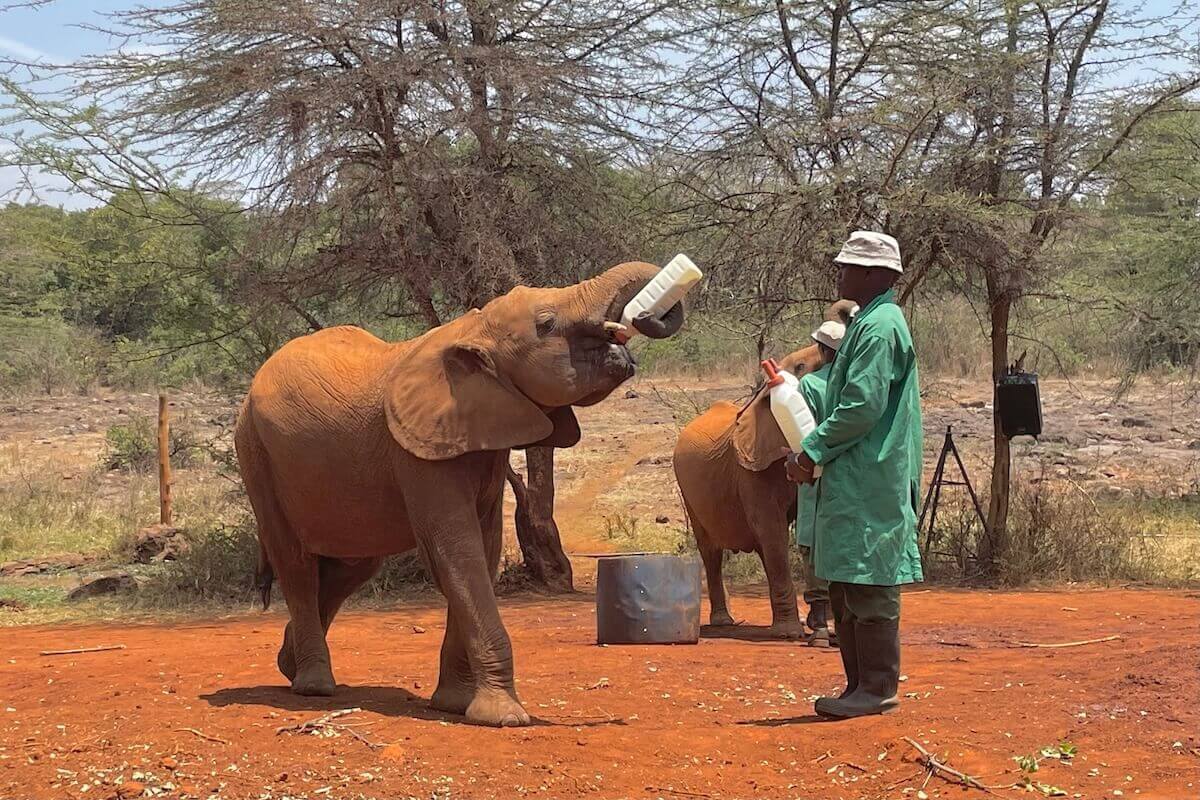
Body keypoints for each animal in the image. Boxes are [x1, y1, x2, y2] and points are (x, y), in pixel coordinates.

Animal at [234, 261, 684, 727]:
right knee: (296, 563)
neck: (473, 329)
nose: (640, 318)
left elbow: (482, 550)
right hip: (254, 452)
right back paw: (314, 686)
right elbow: (456, 552)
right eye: (546, 324)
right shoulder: (418, 451)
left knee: (353, 565)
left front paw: (454, 704)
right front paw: (504, 718)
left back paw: (288, 663)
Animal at [672, 300, 856, 638]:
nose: (847, 311)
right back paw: (724, 622)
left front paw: (815, 628)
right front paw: (789, 633)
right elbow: (771, 528)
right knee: (711, 550)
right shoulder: (752, 471)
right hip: (688, 490)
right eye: (800, 366)